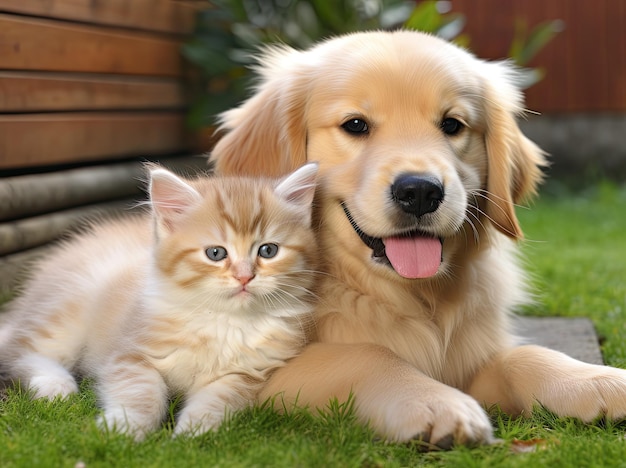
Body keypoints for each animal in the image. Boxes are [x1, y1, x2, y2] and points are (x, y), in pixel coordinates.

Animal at [0, 164, 316, 438]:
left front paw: (193, 436)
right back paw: (55, 385)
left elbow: (216, 404)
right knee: (21, 353)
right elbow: (141, 395)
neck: (222, 320)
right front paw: (123, 429)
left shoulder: (244, 375)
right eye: (215, 253)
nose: (245, 277)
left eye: (268, 250)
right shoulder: (130, 355)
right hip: (67, 307)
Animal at [208, 31, 624, 448]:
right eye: (355, 125)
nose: (421, 192)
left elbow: (523, 356)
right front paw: (435, 402)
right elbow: (365, 354)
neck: (401, 296)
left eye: (452, 125)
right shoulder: (251, 372)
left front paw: (593, 379)